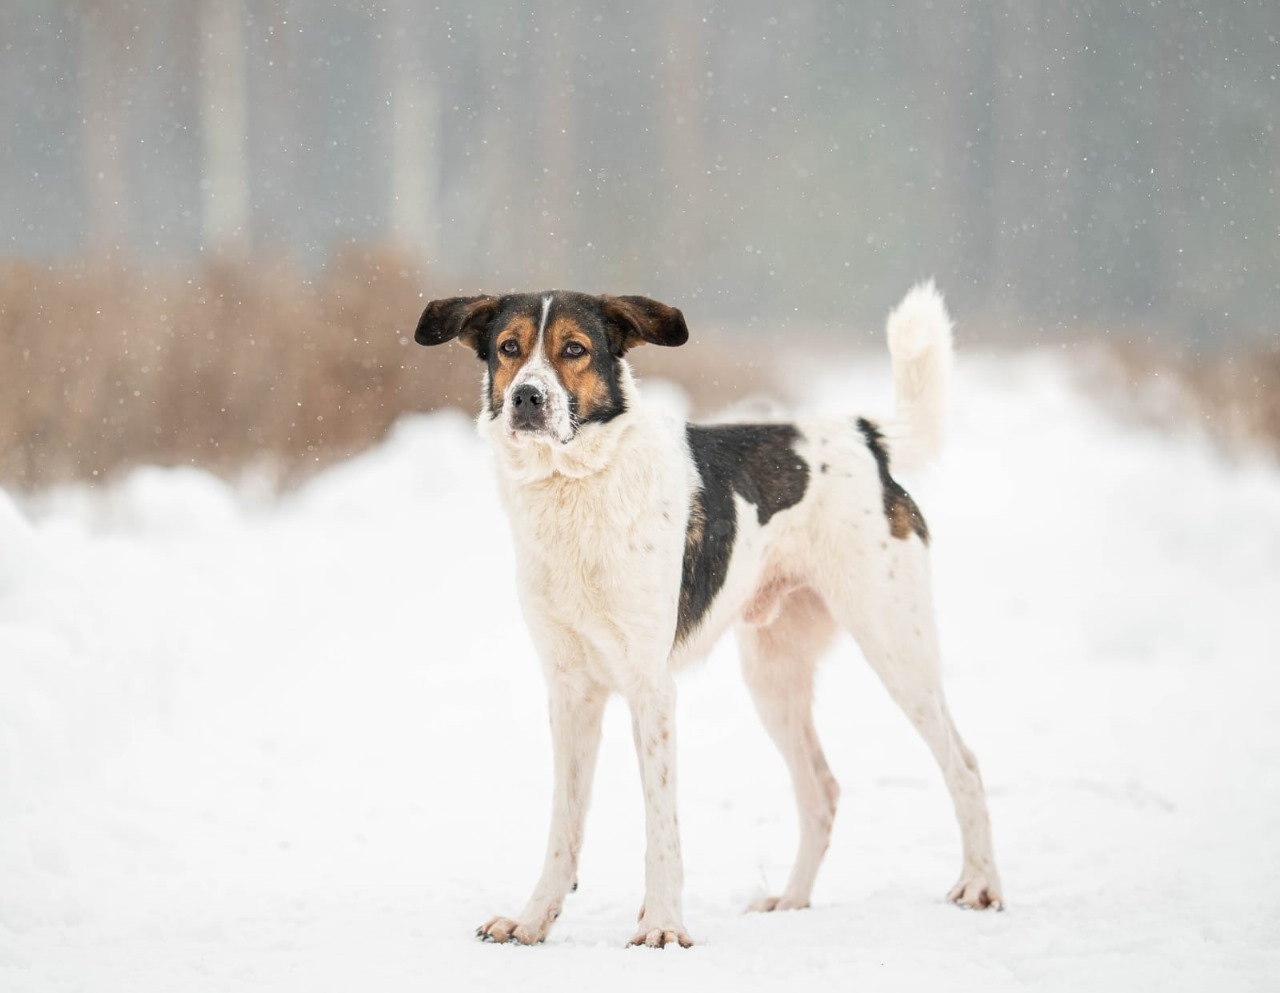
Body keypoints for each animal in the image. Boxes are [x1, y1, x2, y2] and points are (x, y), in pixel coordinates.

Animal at [414, 285, 1003, 946]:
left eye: (575, 349)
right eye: (509, 348)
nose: (526, 398)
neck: (578, 487)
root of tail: (866, 436)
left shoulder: (650, 688)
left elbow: (660, 826)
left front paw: (663, 926)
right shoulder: (569, 690)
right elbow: (563, 826)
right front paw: (533, 918)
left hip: (895, 645)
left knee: (964, 764)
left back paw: (980, 885)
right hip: (773, 676)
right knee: (821, 789)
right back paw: (791, 902)